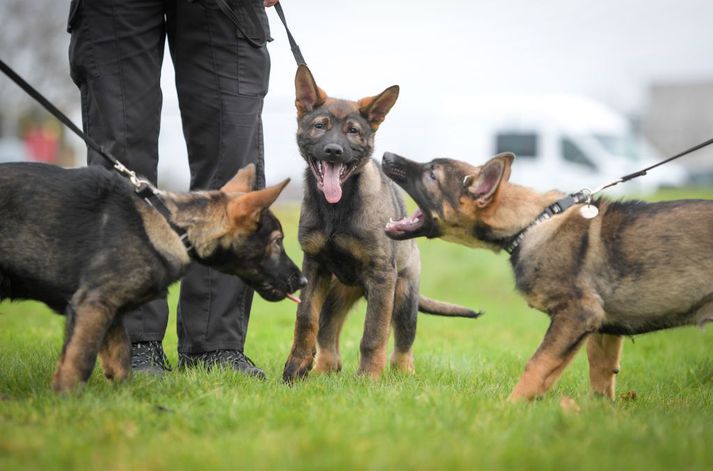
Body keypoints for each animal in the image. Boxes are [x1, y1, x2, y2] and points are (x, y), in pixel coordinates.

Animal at [0, 164, 304, 392]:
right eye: (277, 242)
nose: (303, 282)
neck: (172, 225)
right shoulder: (93, 304)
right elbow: (79, 361)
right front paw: (68, 402)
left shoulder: (111, 312)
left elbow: (120, 359)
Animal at [280, 66, 476, 384]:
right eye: (320, 126)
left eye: (353, 131)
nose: (333, 151)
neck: (337, 208)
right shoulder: (314, 265)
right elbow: (305, 318)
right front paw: (296, 365)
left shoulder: (382, 276)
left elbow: (373, 334)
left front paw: (369, 378)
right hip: (335, 296)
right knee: (329, 337)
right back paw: (322, 369)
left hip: (404, 298)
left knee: (402, 345)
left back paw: (402, 373)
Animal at [384, 152, 712, 402]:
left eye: (432, 174)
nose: (387, 155)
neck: (531, 223)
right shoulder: (604, 326)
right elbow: (601, 374)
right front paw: (600, 417)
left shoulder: (578, 314)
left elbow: (537, 366)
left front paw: (510, 408)